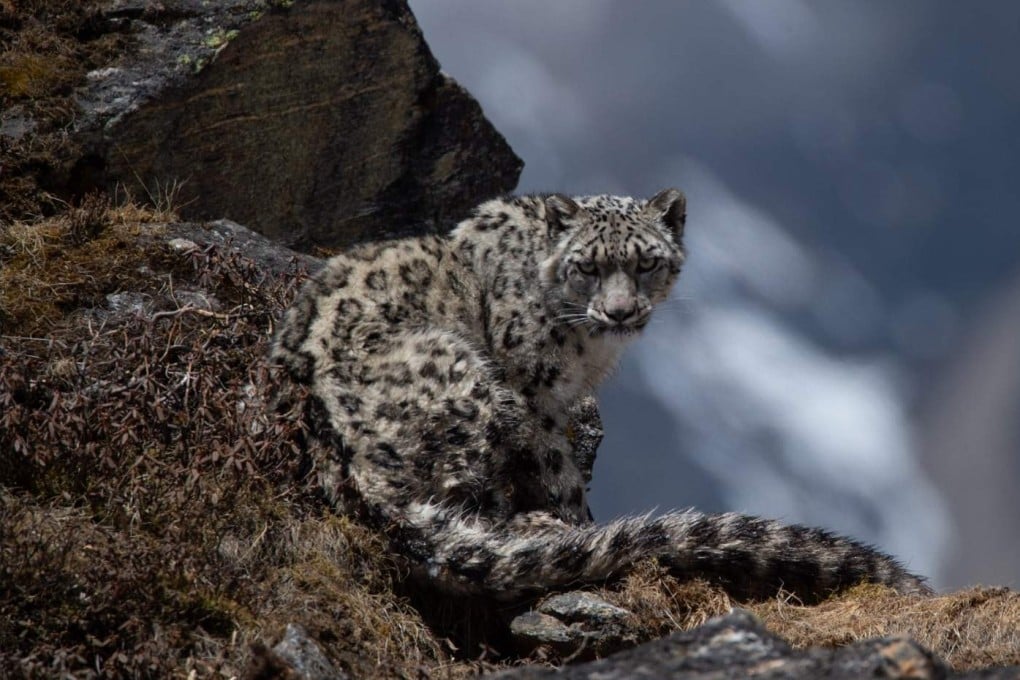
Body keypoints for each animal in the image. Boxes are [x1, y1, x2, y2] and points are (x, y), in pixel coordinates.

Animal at [272, 188, 930, 603]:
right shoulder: (535, 392)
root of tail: (340, 458)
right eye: (587, 267)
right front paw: (579, 523)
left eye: (645, 263)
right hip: (464, 380)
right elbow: (560, 471)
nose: (619, 311)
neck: (587, 350)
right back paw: (533, 526)